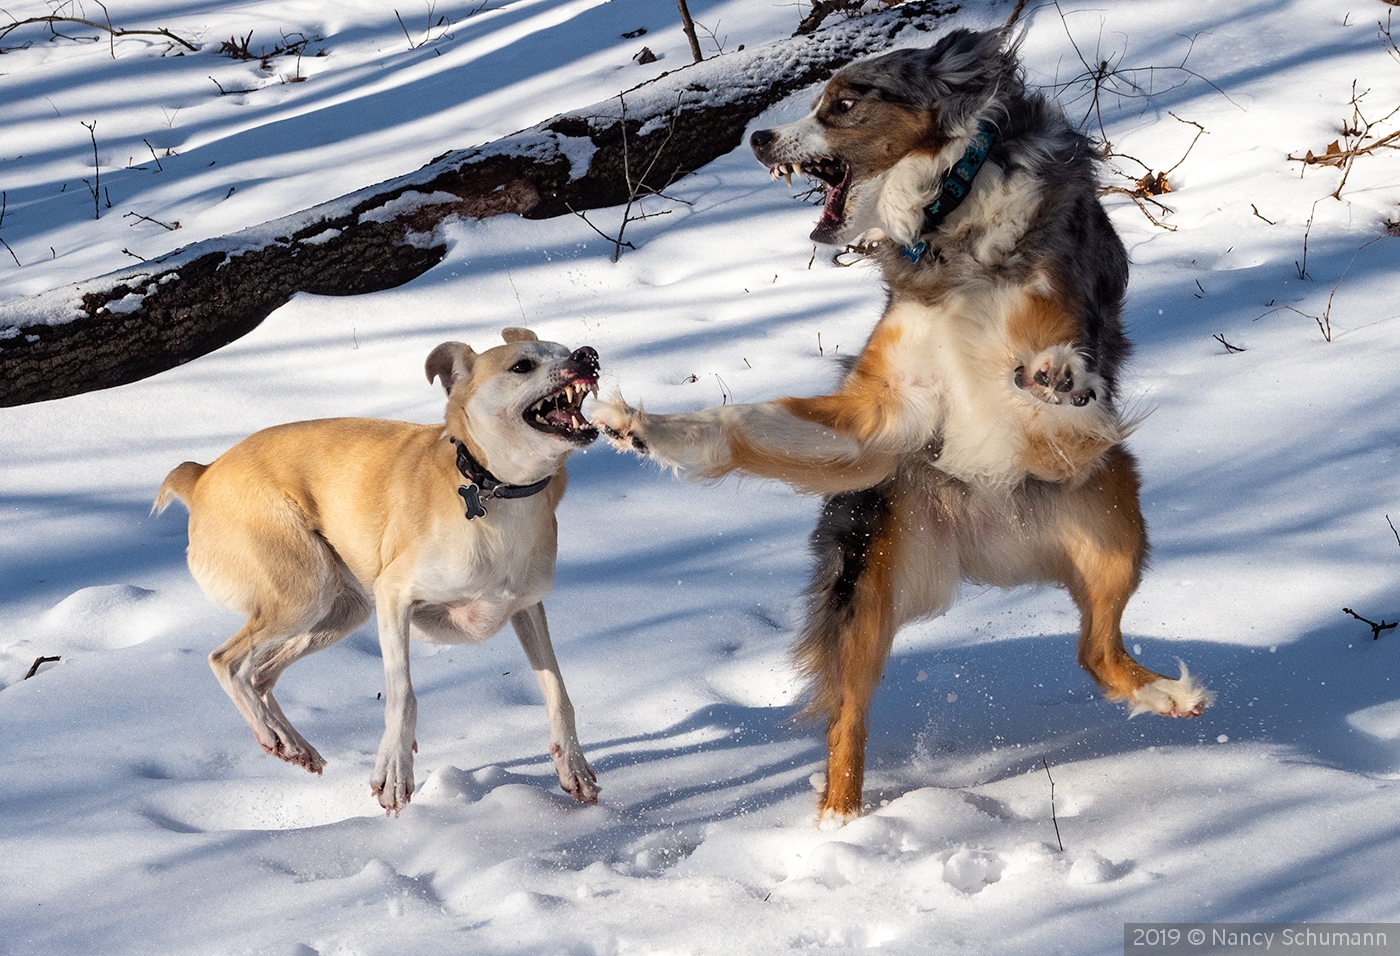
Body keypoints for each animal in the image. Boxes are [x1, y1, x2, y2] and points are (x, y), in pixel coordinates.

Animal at [157, 328, 602, 817]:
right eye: (522, 365)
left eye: (565, 351)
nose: (587, 355)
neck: (495, 489)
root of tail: (201, 475)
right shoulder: (394, 597)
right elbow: (401, 694)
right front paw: (393, 773)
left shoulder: (526, 608)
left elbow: (557, 690)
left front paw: (574, 768)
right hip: (304, 591)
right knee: (228, 663)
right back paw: (272, 732)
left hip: (339, 613)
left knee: (262, 674)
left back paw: (293, 745)